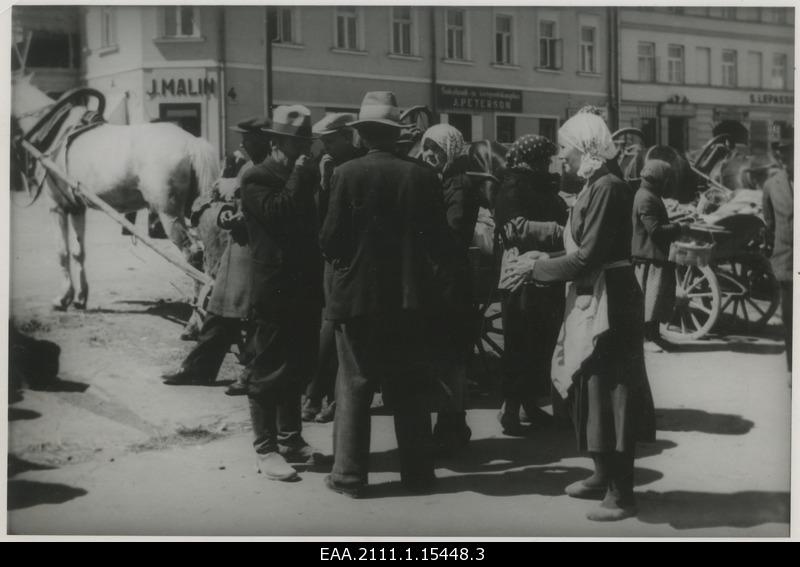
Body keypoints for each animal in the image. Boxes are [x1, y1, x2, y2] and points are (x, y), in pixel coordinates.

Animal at [12, 75, 219, 310]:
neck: (58, 132)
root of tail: (192, 142)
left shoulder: (57, 207)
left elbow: (62, 253)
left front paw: (62, 298)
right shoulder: (76, 207)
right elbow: (78, 252)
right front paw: (80, 298)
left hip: (169, 213)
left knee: (193, 253)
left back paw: (198, 301)